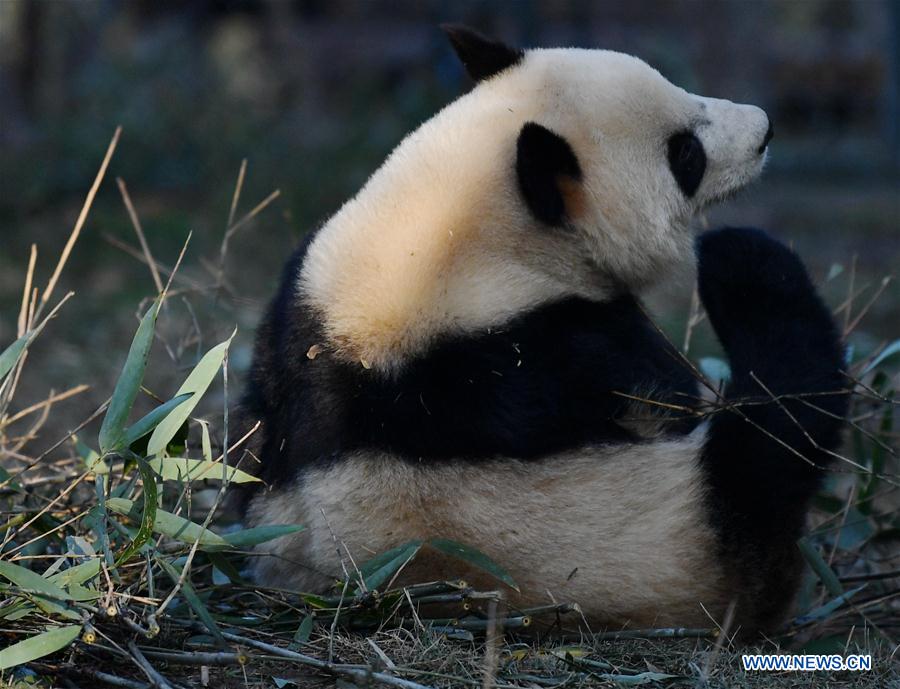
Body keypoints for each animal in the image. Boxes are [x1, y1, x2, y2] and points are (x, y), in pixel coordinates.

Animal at [237, 25, 844, 628]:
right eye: (684, 153)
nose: (764, 129)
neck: (445, 243)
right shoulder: (558, 349)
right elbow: (666, 393)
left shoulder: (302, 305)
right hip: (686, 530)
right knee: (775, 439)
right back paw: (743, 263)